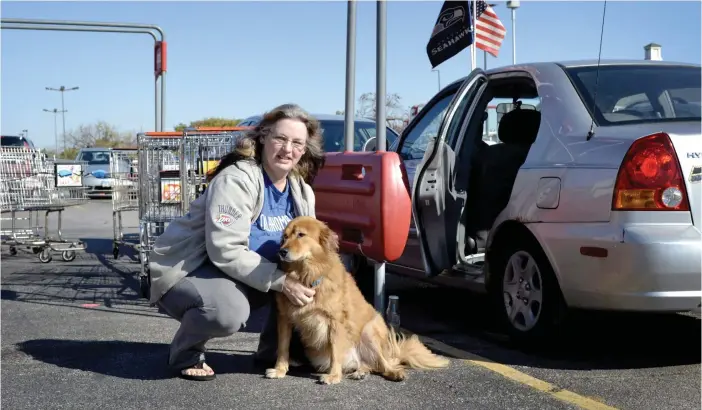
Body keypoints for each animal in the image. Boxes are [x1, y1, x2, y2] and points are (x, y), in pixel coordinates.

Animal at [264, 216, 452, 386]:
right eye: (285, 237)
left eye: (301, 235)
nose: (282, 251)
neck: (307, 275)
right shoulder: (284, 318)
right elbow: (283, 347)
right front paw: (280, 370)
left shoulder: (335, 322)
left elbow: (335, 351)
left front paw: (333, 376)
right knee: (369, 365)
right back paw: (360, 372)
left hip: (369, 332)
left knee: (383, 364)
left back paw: (394, 373)